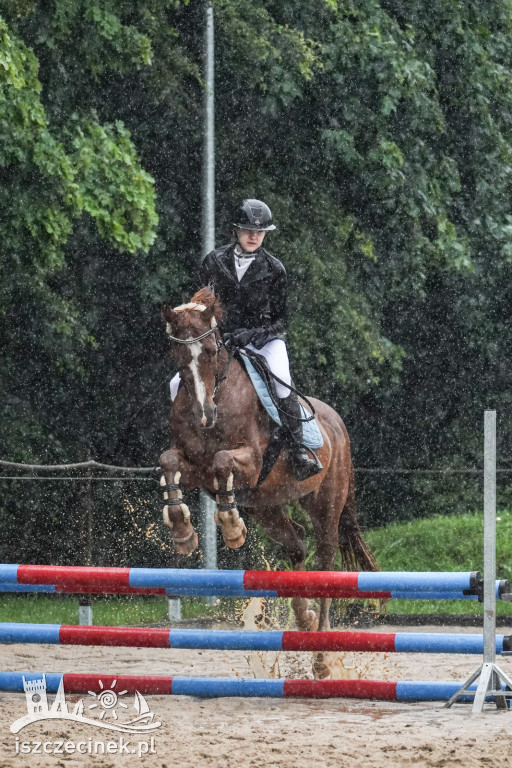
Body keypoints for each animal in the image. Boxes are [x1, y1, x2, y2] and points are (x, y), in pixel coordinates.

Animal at [158, 286, 378, 636]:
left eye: (210, 351)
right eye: (179, 356)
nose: (204, 416)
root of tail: (337, 423)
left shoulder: (251, 464)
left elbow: (223, 460)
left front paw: (232, 527)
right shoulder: (195, 470)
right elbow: (168, 461)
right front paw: (182, 530)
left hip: (326, 503)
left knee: (325, 557)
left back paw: (321, 632)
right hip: (266, 509)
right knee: (296, 544)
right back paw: (305, 618)